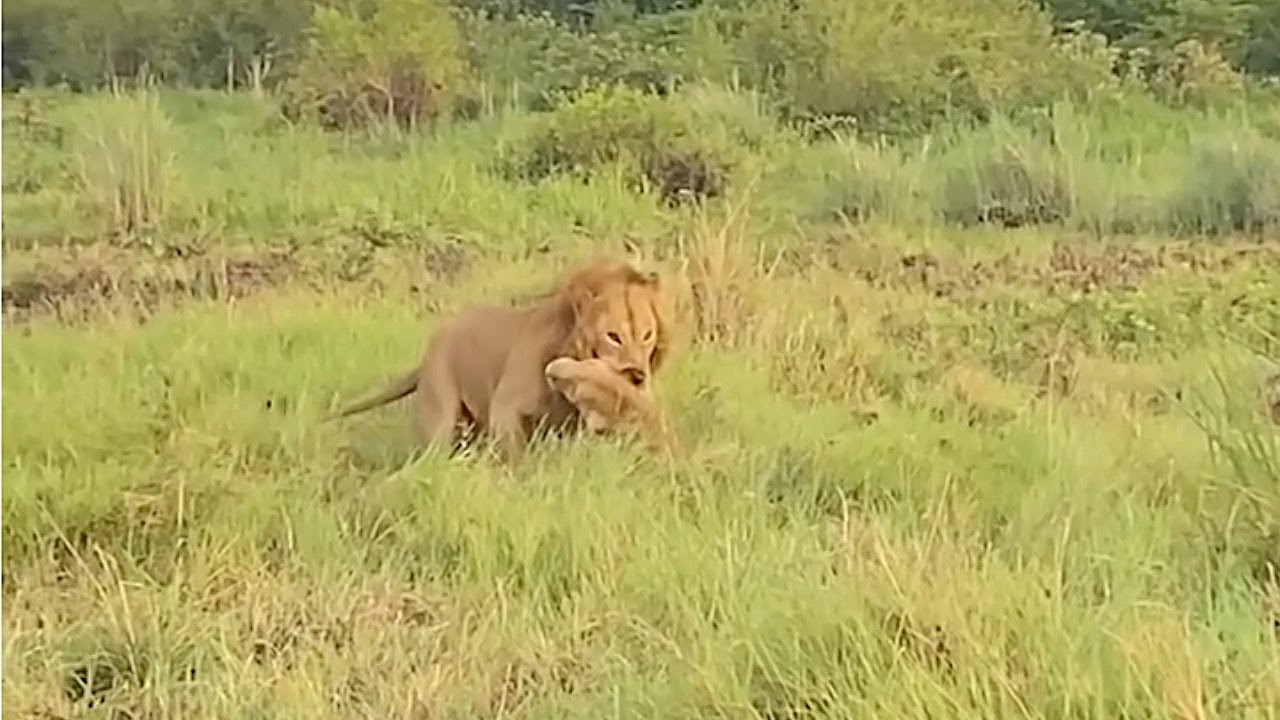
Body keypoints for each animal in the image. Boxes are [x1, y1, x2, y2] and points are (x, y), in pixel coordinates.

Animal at [328, 257, 674, 462]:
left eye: (647, 335)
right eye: (613, 336)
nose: (638, 374)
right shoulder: (505, 408)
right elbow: (515, 455)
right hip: (440, 413)